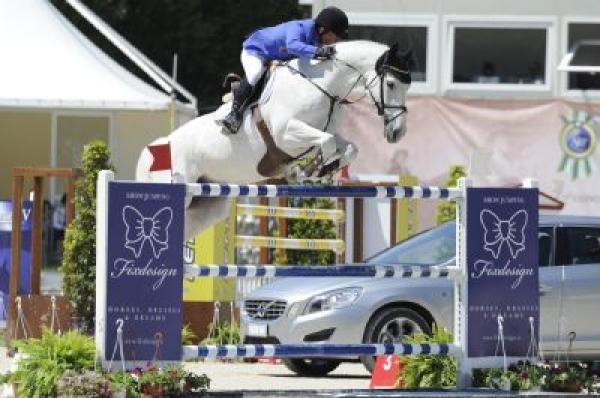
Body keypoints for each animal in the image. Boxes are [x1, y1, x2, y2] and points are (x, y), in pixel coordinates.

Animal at [136, 41, 412, 239]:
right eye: (390, 84)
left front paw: (321, 168)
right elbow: (327, 142)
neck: (324, 85)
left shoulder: (318, 135)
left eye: (407, 86)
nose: (397, 133)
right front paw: (309, 171)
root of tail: (150, 152)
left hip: (207, 206)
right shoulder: (285, 134)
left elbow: (348, 147)